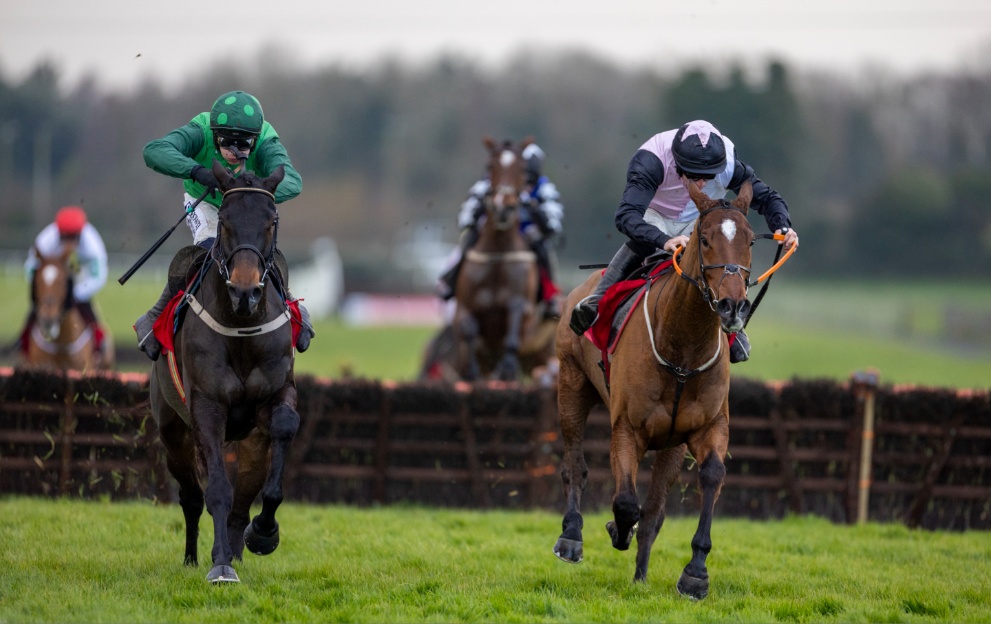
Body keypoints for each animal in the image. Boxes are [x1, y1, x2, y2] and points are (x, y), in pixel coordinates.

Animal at [452, 135, 540, 380]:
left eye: (521, 168)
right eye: (491, 166)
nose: (503, 207)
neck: (498, 256)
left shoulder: (520, 304)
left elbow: (512, 334)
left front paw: (506, 368)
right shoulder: (465, 307)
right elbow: (469, 332)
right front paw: (472, 371)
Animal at [556, 182, 756, 600]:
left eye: (750, 240)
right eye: (704, 238)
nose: (731, 306)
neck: (682, 347)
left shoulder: (704, 428)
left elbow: (707, 477)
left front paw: (695, 573)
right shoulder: (627, 429)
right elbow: (625, 503)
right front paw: (616, 529)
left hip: (670, 444)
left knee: (654, 508)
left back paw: (640, 575)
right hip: (571, 384)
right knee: (574, 465)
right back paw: (571, 537)